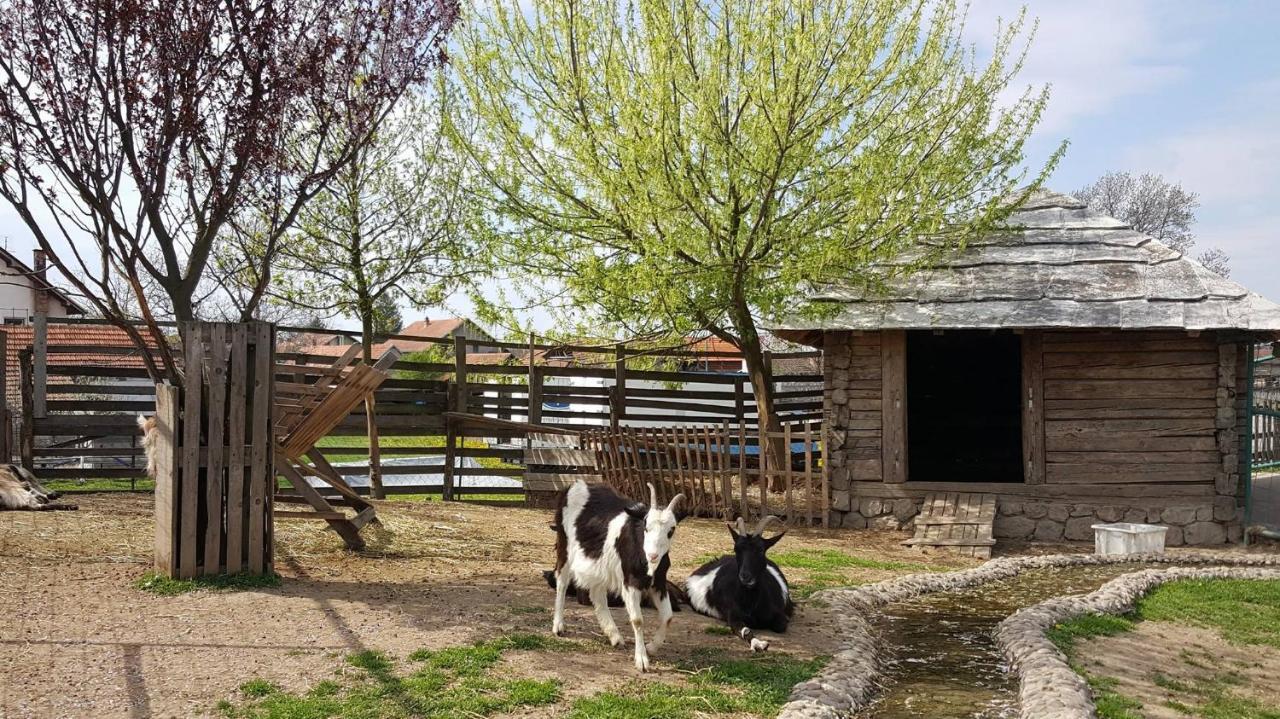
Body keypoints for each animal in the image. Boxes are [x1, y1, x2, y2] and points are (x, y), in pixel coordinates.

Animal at [552, 478, 691, 670]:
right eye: (646, 526)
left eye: (671, 529)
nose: (653, 555)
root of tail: (575, 484)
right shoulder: (631, 582)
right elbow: (638, 620)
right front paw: (642, 660)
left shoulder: (659, 583)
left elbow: (668, 617)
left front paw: (651, 647)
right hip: (564, 544)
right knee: (562, 582)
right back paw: (558, 626)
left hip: (600, 563)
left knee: (597, 593)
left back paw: (615, 636)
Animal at [686, 514, 793, 649]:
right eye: (736, 549)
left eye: (761, 550)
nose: (745, 576)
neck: (750, 602)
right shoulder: (733, 616)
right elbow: (745, 630)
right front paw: (757, 644)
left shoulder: (779, 613)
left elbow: (780, 626)